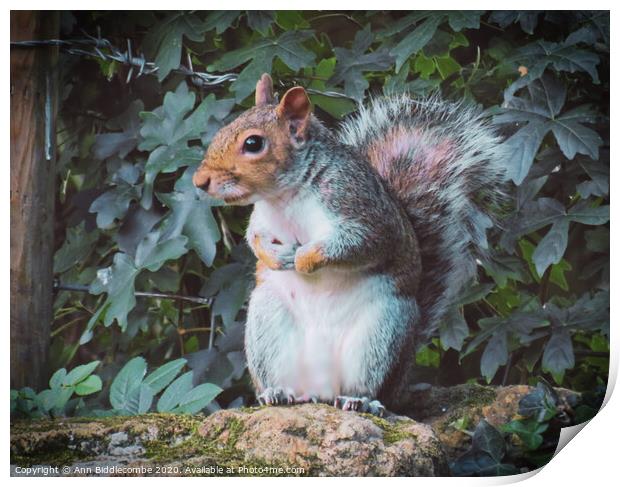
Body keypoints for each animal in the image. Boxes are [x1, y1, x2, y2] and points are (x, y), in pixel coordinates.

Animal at [194, 72, 508, 416]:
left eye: (253, 143)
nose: (199, 181)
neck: (285, 196)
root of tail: (320, 390)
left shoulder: (362, 209)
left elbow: (358, 244)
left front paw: (303, 258)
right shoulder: (262, 219)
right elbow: (255, 238)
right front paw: (275, 258)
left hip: (381, 332)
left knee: (370, 386)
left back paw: (361, 401)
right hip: (268, 324)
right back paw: (277, 394)